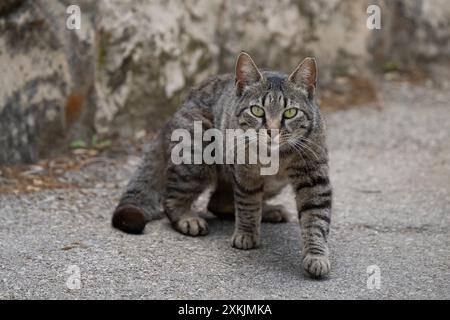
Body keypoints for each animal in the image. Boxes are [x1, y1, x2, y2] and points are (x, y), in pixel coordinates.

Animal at [111, 52, 332, 278]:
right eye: (256, 110)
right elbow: (247, 205)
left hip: (266, 183)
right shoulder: (245, 174)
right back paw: (187, 219)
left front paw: (316, 255)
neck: (276, 155)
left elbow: (315, 218)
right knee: (173, 199)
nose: (271, 131)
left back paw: (269, 211)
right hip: (196, 162)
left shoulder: (314, 177)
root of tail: (176, 109)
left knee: (219, 202)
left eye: (290, 113)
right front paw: (246, 234)